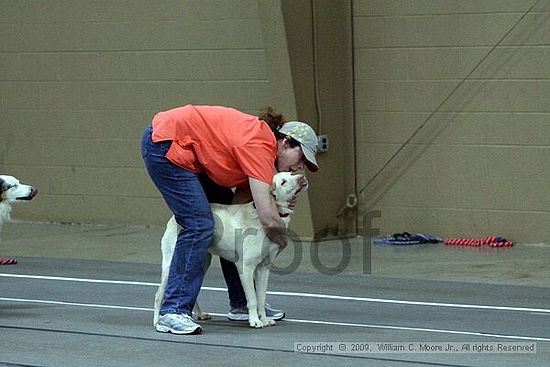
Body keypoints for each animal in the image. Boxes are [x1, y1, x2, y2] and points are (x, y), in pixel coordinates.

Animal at [155, 172, 308, 330]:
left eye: (291, 174)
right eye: (283, 182)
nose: (302, 177)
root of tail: (174, 218)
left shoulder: (263, 269)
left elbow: (261, 299)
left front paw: (265, 319)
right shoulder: (246, 268)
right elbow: (252, 299)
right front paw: (255, 320)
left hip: (200, 262)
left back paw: (199, 314)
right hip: (172, 264)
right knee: (159, 295)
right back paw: (158, 322)